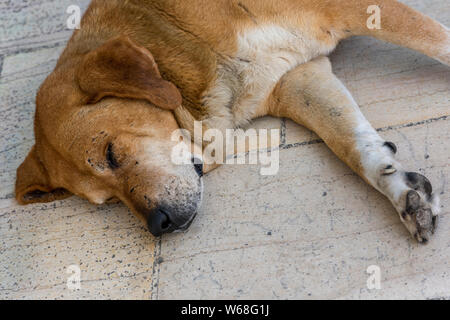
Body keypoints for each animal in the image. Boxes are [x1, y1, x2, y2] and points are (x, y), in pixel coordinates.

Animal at [14, 0, 446, 242]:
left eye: (111, 153)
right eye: (107, 202)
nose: (159, 224)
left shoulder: (351, 6)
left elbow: (439, 41)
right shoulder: (298, 78)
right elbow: (354, 146)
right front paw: (401, 190)